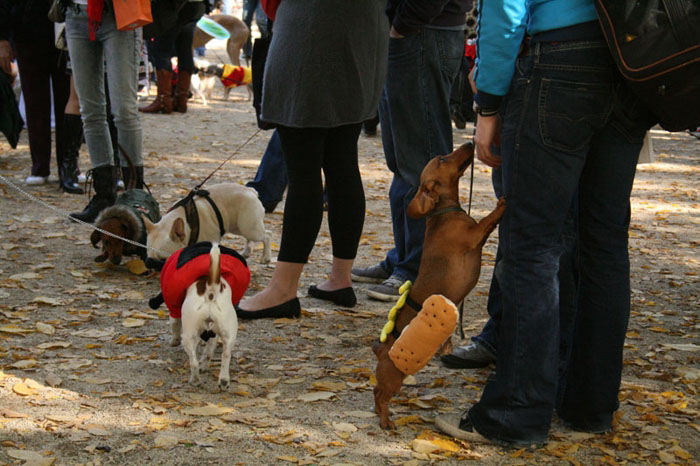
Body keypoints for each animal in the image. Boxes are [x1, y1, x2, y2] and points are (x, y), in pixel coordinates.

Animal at [172, 242, 241, 392]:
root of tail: (211, 288)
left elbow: (174, 325)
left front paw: (173, 340)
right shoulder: (213, 334)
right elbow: (209, 350)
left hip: (188, 336)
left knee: (193, 361)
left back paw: (195, 380)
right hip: (229, 333)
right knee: (226, 355)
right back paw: (223, 381)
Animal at [370, 143, 506, 430]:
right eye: (443, 159)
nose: (470, 143)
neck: (444, 212)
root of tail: (381, 349)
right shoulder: (475, 235)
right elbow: (489, 220)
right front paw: (503, 203)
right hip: (394, 375)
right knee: (379, 394)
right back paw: (385, 420)